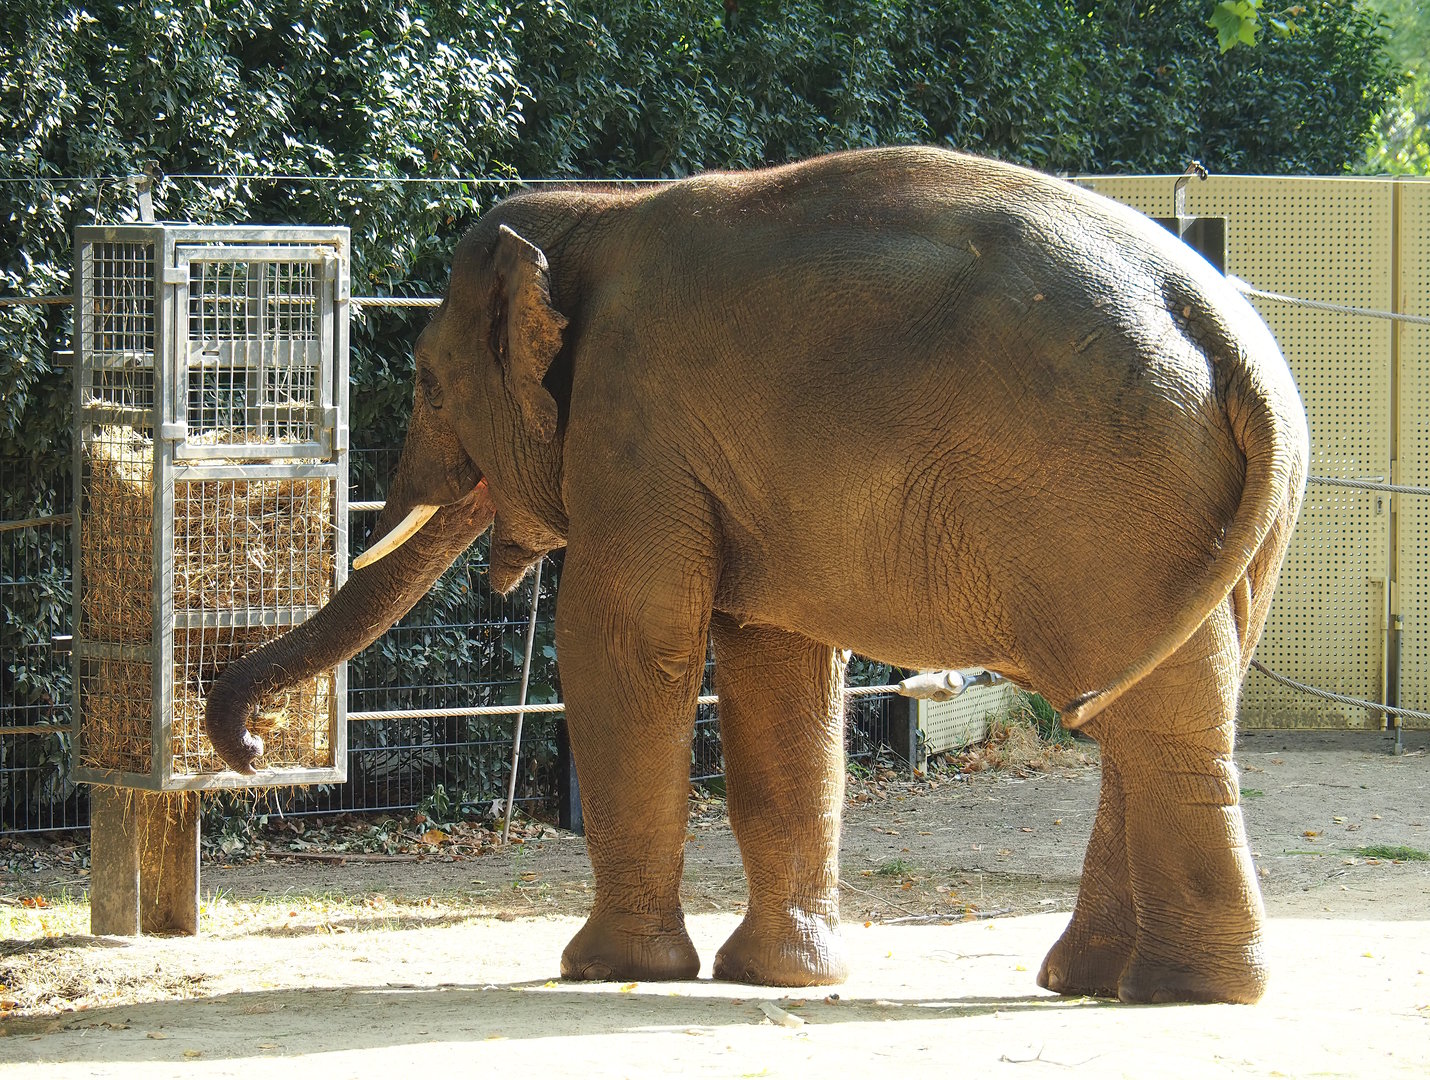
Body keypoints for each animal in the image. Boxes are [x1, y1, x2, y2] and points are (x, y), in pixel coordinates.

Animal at [206, 146, 1308, 1004]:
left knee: (1152, 719)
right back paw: (1092, 981)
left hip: (1108, 497)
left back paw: (1181, 992)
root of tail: (1221, 319)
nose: (251, 750)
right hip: (1218, 517)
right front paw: (779, 978)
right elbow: (776, 667)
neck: (593, 213)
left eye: (431, 382)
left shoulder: (635, 422)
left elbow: (627, 640)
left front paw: (608, 970)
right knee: (1150, 707)